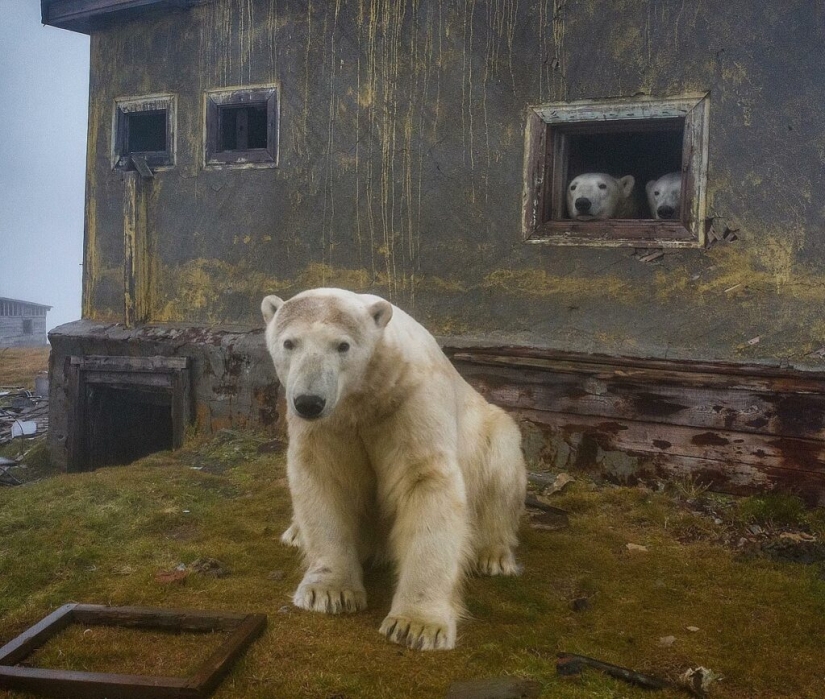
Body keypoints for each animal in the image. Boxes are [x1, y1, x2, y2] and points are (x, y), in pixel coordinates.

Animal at [260, 288, 524, 652]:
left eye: (342, 345)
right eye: (289, 342)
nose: (309, 401)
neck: (365, 396)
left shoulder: (409, 402)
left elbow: (424, 481)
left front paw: (417, 625)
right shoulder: (329, 425)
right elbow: (324, 479)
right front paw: (329, 593)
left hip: (491, 432)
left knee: (501, 469)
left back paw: (494, 555)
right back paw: (295, 533)